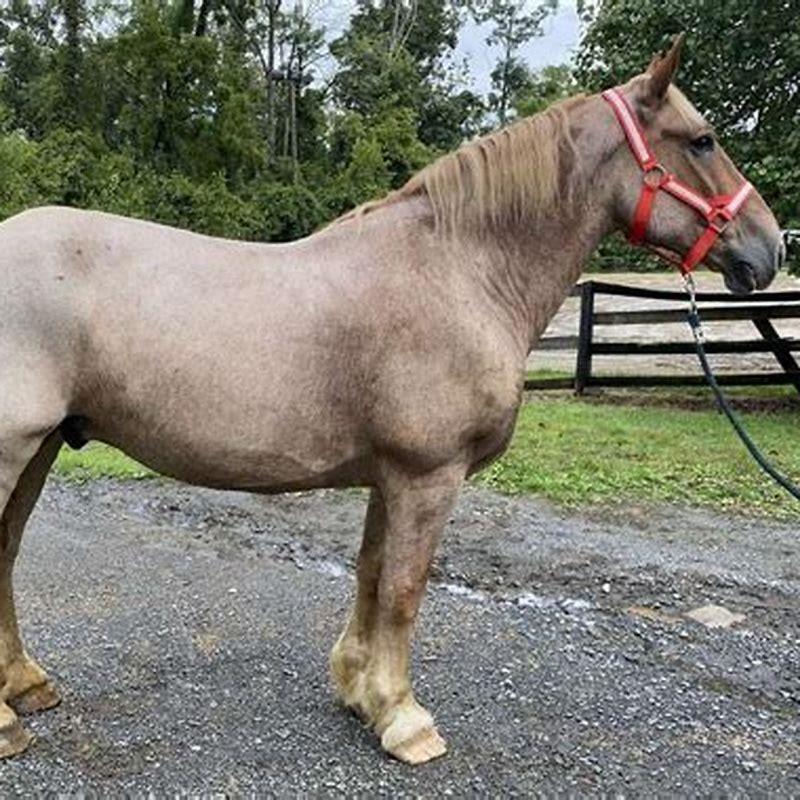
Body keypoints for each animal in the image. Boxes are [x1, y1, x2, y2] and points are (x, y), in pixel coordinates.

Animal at [0, 36, 784, 765]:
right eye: (703, 138)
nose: (770, 249)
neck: (459, 271)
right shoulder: (427, 474)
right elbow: (406, 590)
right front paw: (405, 720)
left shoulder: (390, 474)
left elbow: (373, 575)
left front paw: (359, 692)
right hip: (16, 450)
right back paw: (9, 723)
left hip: (41, 450)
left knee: (5, 554)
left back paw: (26, 688)